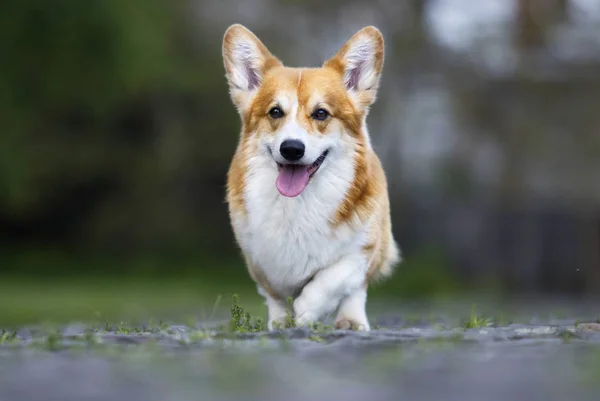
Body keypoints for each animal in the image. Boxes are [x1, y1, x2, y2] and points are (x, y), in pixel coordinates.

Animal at [219, 23, 398, 330]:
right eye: (275, 112)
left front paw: (307, 309)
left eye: (321, 113)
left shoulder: (364, 246)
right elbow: (275, 293)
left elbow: (334, 277)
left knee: (355, 291)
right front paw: (281, 322)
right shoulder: (258, 257)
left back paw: (351, 321)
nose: (291, 148)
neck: (299, 203)